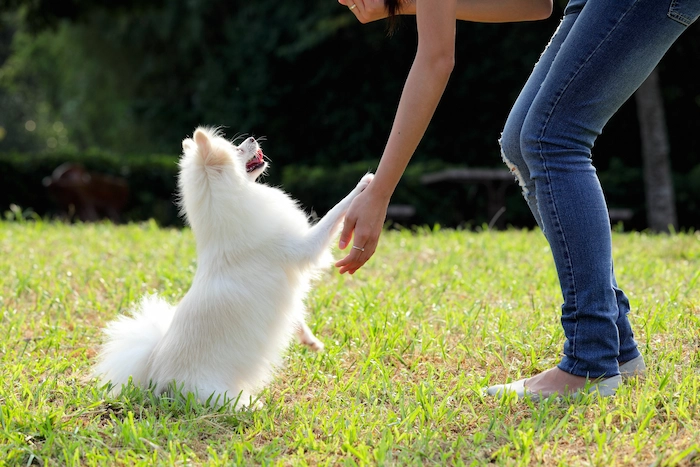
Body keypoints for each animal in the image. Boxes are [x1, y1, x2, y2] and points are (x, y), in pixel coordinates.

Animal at [95, 126, 374, 408]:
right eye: (236, 149)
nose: (251, 137)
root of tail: (155, 376)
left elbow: (295, 314)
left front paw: (309, 339)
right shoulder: (304, 247)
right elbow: (335, 212)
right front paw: (363, 185)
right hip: (215, 394)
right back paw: (253, 406)